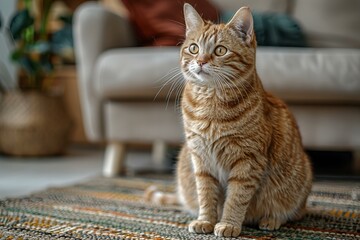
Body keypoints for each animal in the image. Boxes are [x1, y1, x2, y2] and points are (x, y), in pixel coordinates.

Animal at [145, 3, 314, 238]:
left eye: (220, 50)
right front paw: (205, 221)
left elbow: (236, 198)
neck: (210, 104)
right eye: (194, 48)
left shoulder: (247, 160)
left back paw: (271, 219)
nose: (200, 61)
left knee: (294, 212)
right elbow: (206, 194)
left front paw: (228, 224)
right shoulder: (200, 158)